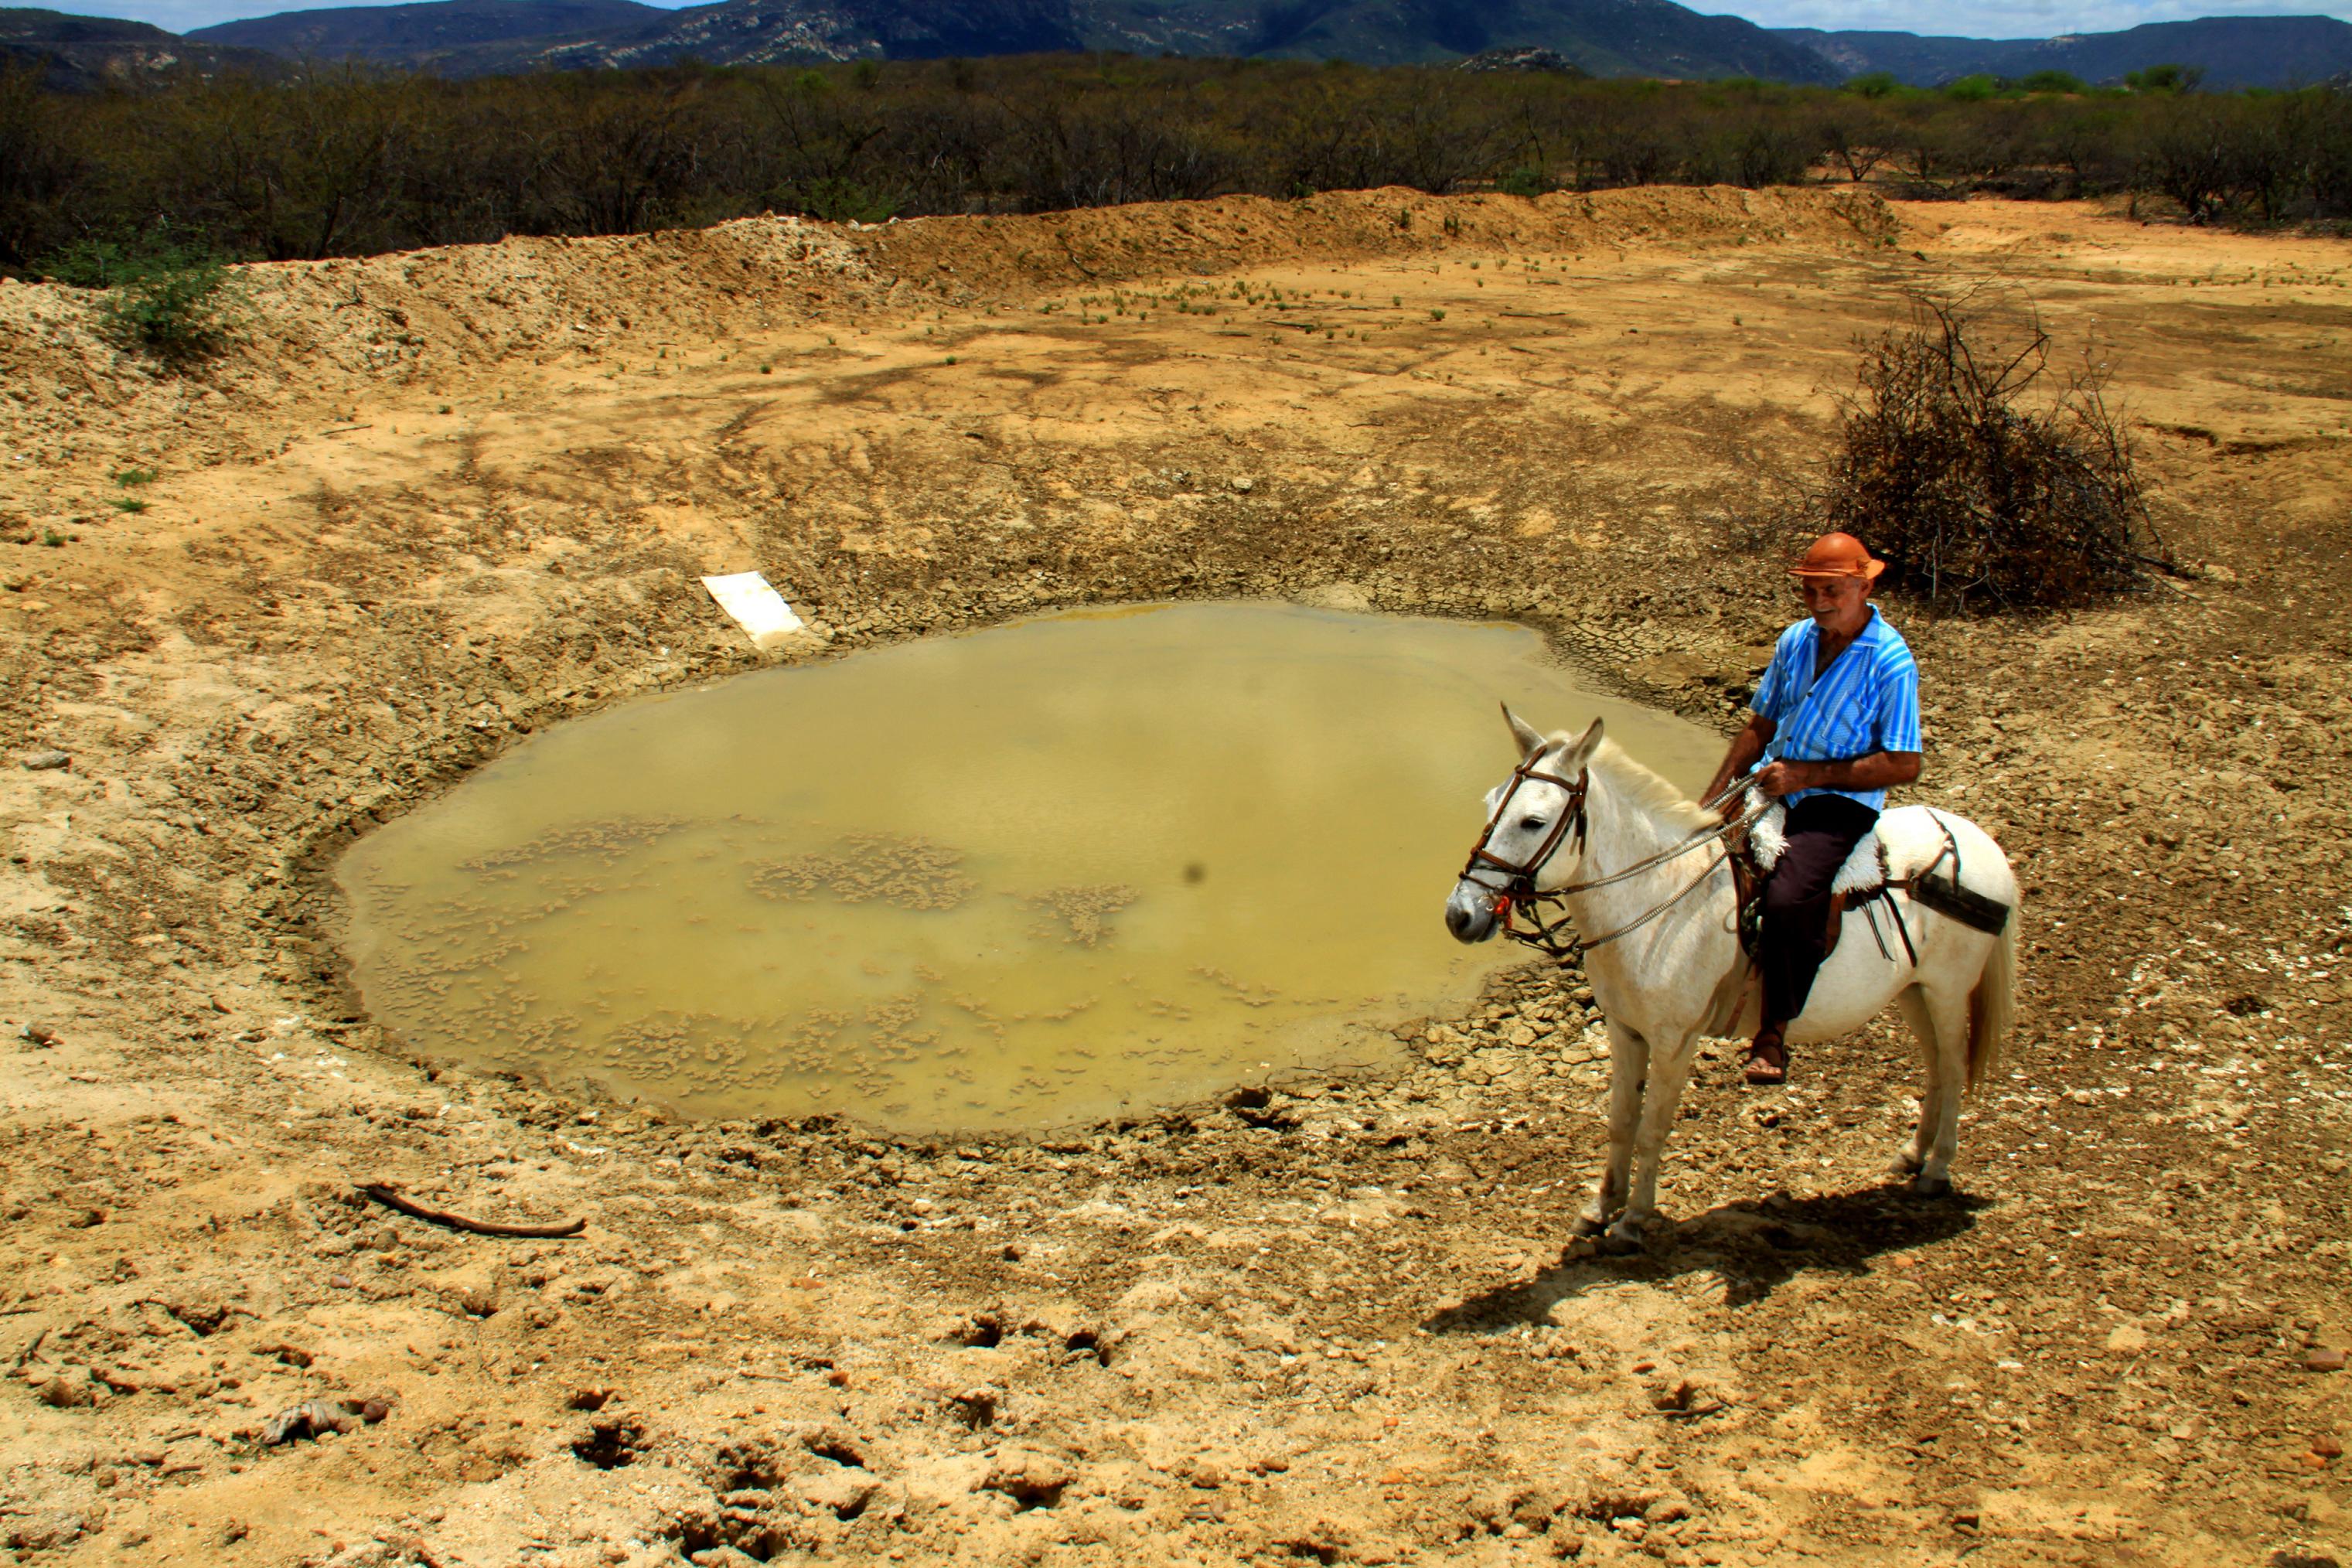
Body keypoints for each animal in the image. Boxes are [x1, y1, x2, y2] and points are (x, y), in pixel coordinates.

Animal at [1439, 714, 2013, 1250]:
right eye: (1491, 805)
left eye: (1533, 821)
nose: (1460, 915)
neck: (1658, 899)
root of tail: (1973, 839)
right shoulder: (1625, 1032)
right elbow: (1621, 1121)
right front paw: (1600, 1209)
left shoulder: (1674, 1042)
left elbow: (1653, 1127)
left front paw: (1633, 1221)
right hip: (1914, 992)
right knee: (1936, 1069)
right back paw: (1912, 1156)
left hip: (1947, 990)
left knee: (1954, 1070)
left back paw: (1936, 1170)